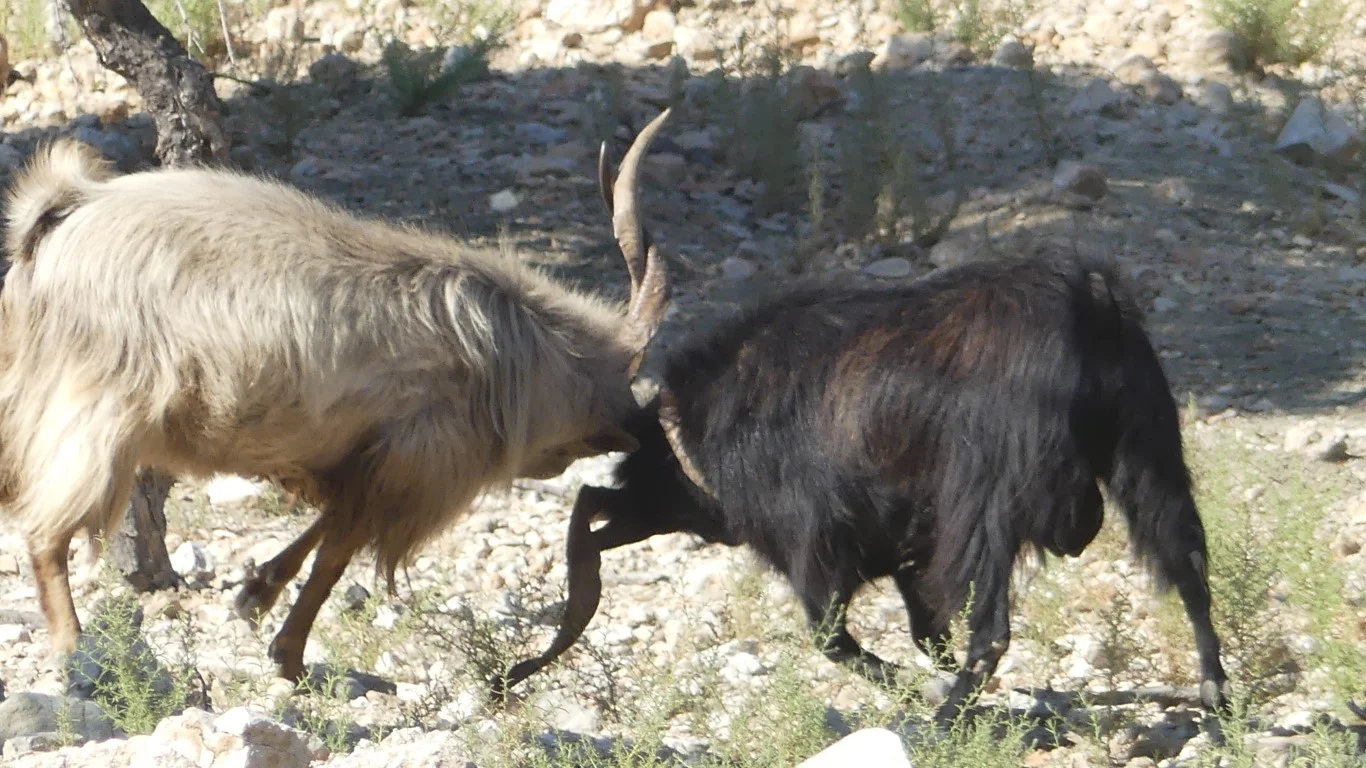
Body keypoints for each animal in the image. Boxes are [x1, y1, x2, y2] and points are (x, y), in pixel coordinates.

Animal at [497, 251, 1234, 721]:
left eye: (649, 467)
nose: (619, 498)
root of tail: (1091, 305)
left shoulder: (816, 535)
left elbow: (832, 635)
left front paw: (915, 692)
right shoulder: (907, 539)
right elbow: (923, 626)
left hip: (987, 494)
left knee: (992, 630)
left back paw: (943, 724)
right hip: (1148, 449)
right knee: (1190, 569)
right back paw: (1217, 700)